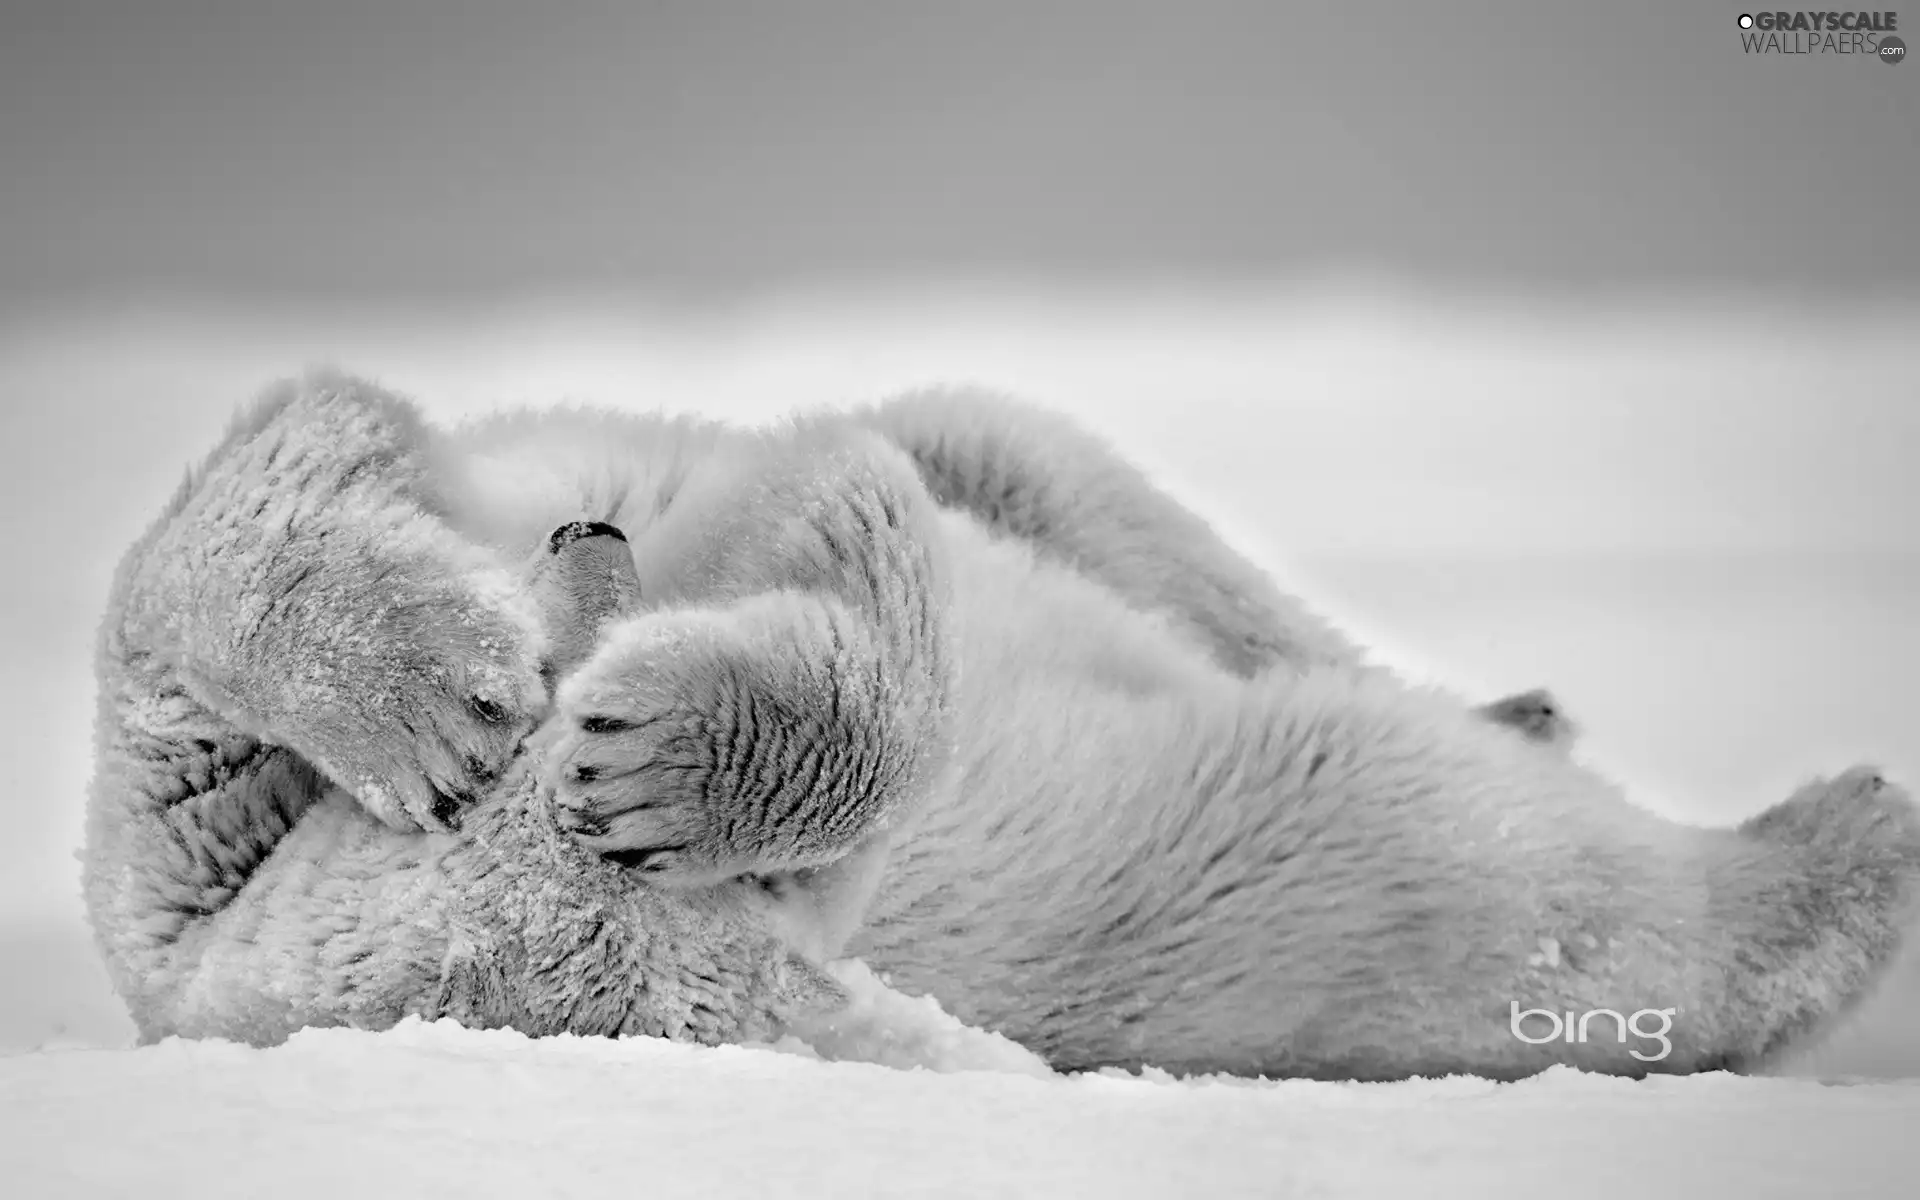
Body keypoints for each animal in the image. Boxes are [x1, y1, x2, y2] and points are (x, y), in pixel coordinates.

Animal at [82, 372, 1920, 1075]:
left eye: (579, 643)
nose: (590, 541)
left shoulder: (202, 850)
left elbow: (294, 457)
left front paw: (457, 699)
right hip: (1281, 875)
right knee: (1474, 858)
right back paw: (1838, 839)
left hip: (1056, 491)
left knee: (1054, 469)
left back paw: (1528, 700)